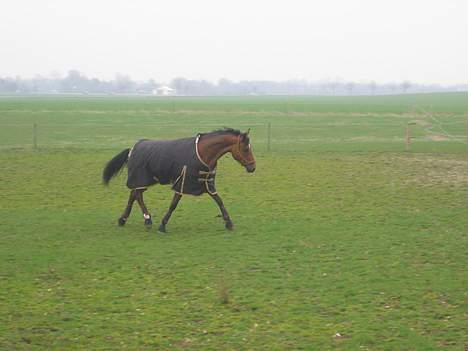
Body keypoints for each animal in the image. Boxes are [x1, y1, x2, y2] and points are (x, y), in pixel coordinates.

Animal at [102, 129, 256, 234]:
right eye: (245, 148)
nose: (252, 167)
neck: (203, 153)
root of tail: (132, 149)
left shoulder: (207, 184)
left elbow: (219, 201)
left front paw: (229, 223)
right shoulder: (182, 183)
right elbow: (173, 205)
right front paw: (162, 225)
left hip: (144, 180)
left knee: (134, 194)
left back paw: (123, 219)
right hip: (141, 178)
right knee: (138, 195)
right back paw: (147, 220)